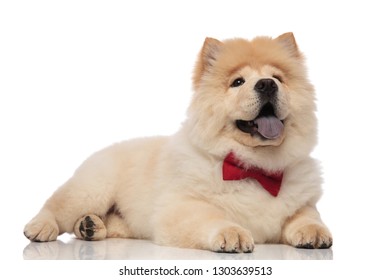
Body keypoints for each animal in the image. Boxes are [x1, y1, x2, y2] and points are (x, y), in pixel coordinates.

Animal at [23, 33, 332, 254]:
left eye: (278, 78)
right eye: (238, 82)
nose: (267, 84)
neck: (253, 167)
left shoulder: (303, 203)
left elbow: (307, 216)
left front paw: (315, 233)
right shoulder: (180, 208)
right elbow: (211, 217)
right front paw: (231, 233)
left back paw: (89, 227)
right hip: (91, 190)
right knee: (55, 206)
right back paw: (41, 228)